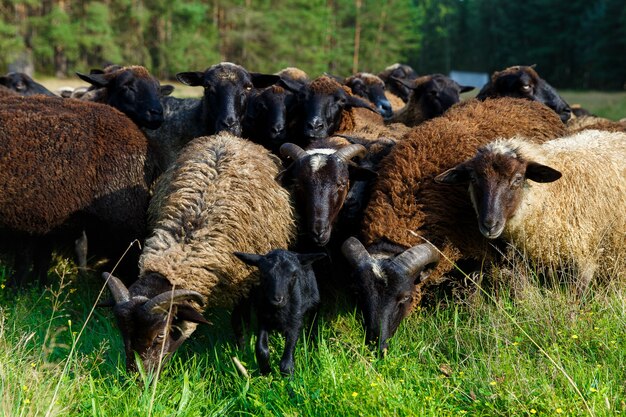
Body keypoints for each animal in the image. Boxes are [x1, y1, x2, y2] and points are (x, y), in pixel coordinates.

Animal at [103, 132, 294, 370]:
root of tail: (228, 137)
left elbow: (239, 322)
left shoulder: (243, 280)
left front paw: (242, 350)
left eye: (160, 335)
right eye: (123, 335)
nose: (139, 377)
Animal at [342, 97, 564, 352]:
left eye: (405, 297)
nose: (377, 346)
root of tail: (521, 101)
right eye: (359, 293)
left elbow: (472, 294)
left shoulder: (476, 253)